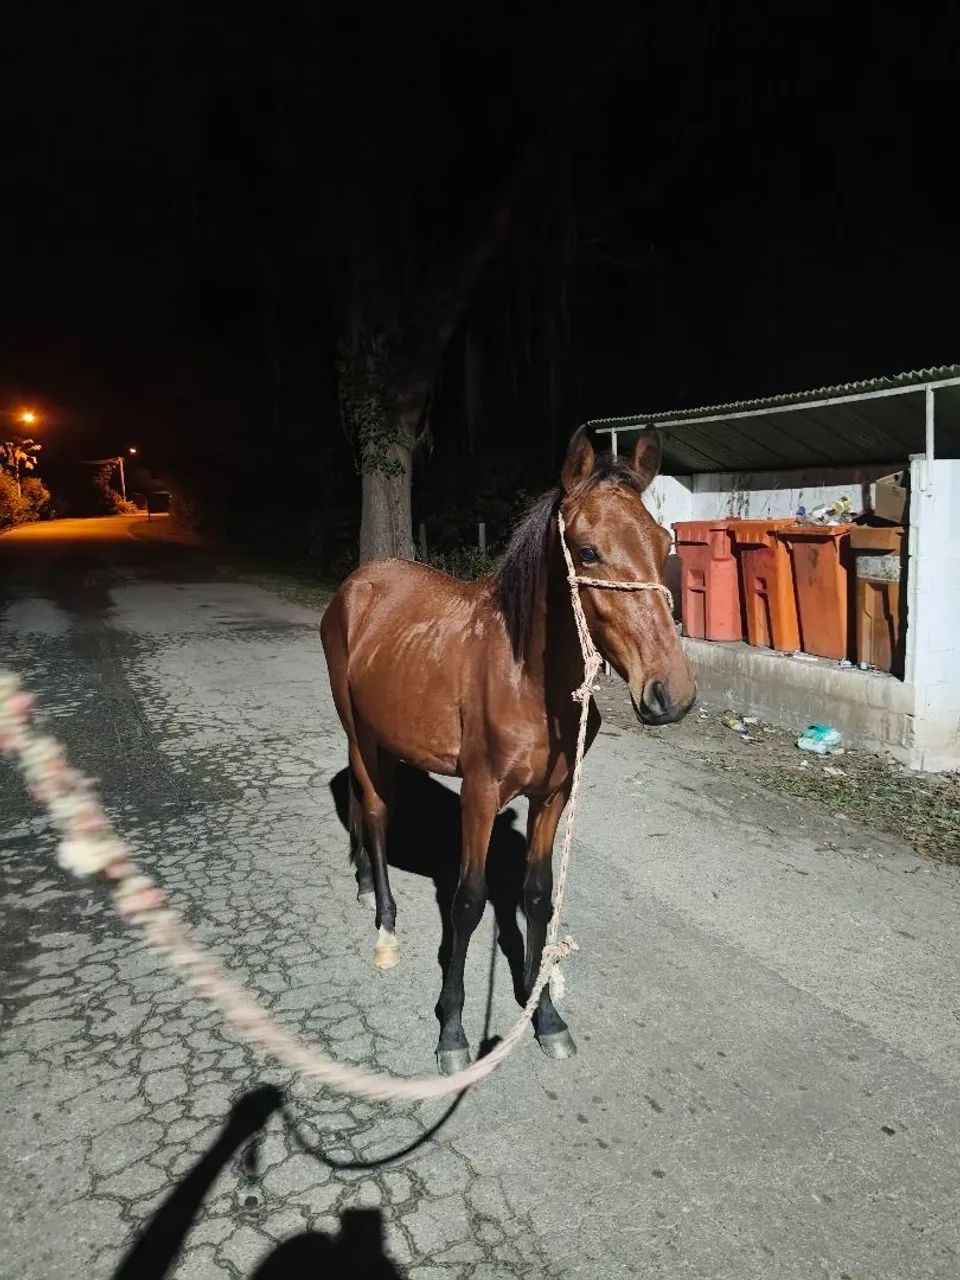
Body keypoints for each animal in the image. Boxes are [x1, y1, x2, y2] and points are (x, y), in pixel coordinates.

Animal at [320, 425, 696, 1074]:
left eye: (662, 542)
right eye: (588, 551)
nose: (670, 693)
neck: (527, 678)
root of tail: (357, 583)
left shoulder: (553, 798)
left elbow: (537, 899)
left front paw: (545, 1018)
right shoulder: (480, 794)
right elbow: (468, 903)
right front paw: (451, 1031)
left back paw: (367, 881)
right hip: (358, 731)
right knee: (375, 810)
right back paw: (385, 927)